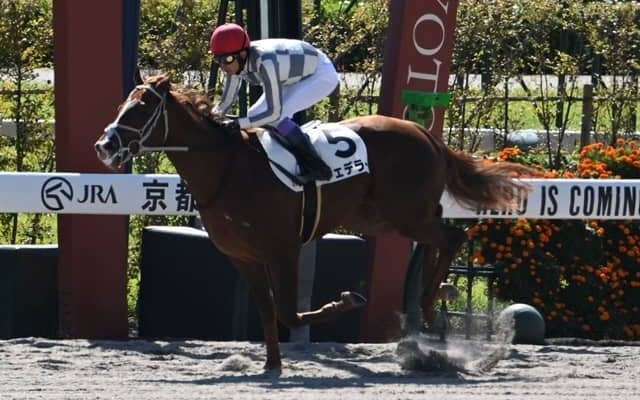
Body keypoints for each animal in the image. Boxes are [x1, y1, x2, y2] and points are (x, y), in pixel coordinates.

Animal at [94, 73, 533, 370]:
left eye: (140, 109)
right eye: (122, 106)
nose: (105, 145)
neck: (228, 168)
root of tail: (426, 134)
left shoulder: (282, 249)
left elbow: (289, 312)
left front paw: (346, 301)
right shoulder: (243, 257)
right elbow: (267, 309)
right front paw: (272, 364)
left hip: (404, 213)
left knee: (452, 235)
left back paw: (429, 306)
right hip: (385, 217)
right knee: (438, 236)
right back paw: (429, 308)